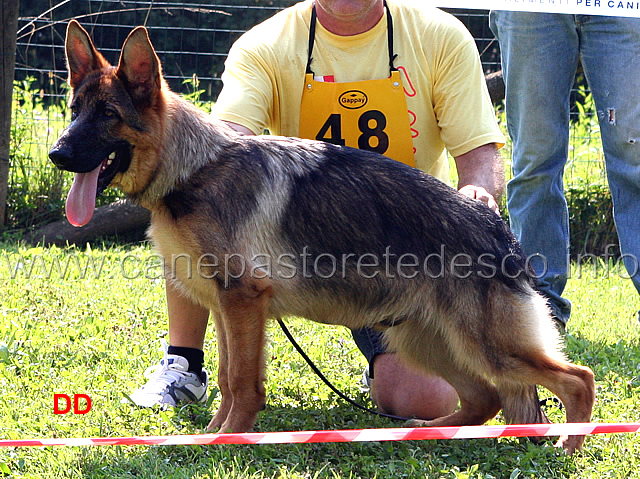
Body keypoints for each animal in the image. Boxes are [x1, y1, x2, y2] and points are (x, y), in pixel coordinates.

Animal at [50, 21, 596, 454]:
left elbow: (242, 382)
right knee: (486, 398)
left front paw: (229, 437)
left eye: (108, 115)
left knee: (576, 380)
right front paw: (213, 433)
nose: (57, 154)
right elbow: (226, 376)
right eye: (74, 110)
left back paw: (569, 443)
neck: (194, 167)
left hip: (486, 345)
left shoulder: (242, 304)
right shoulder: (227, 309)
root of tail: (496, 228)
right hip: (425, 340)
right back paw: (426, 432)